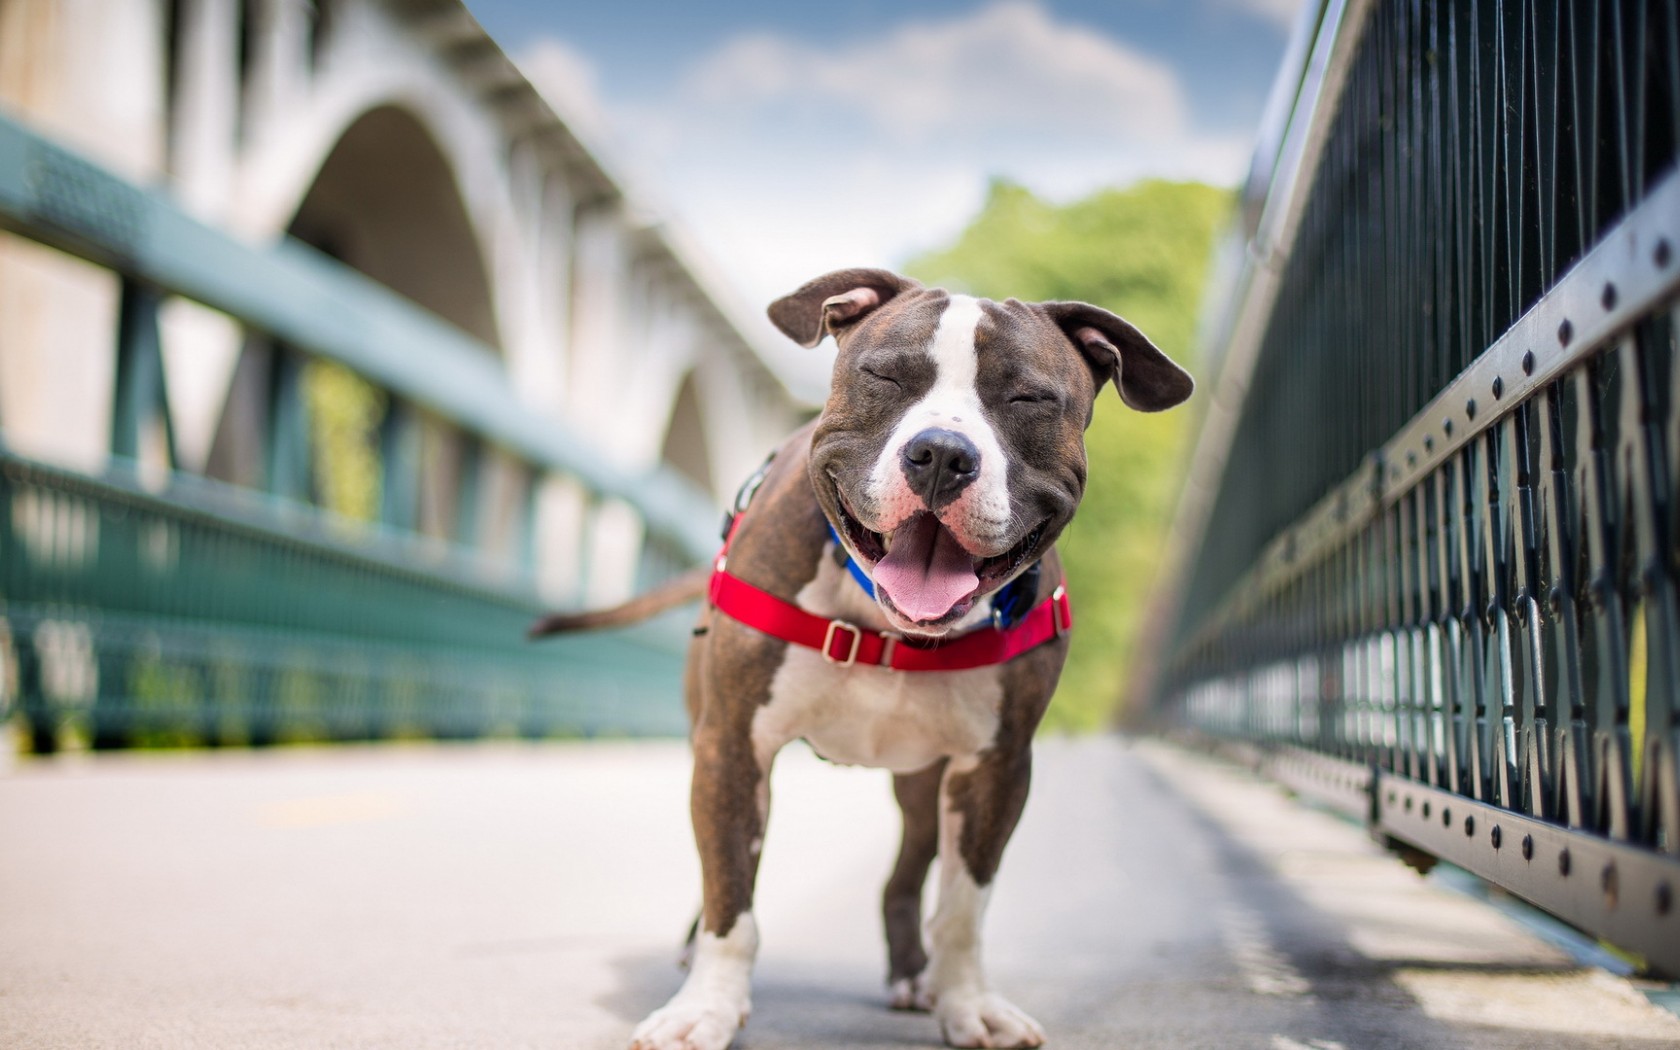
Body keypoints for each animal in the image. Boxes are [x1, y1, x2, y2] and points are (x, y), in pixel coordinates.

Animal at [530, 268, 1189, 1048]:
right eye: (886, 376)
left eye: (1027, 399)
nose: (941, 454)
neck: (886, 624)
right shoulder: (732, 745)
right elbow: (730, 895)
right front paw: (706, 1009)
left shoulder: (997, 768)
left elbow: (963, 909)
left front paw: (969, 1005)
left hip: (925, 785)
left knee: (906, 877)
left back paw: (915, 976)